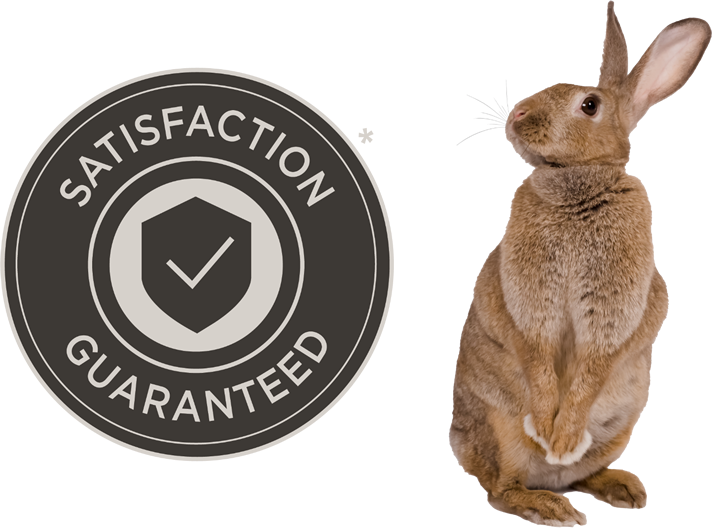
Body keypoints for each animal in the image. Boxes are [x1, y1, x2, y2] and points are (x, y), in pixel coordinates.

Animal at [449, 2, 709, 526]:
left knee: (579, 472)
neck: (578, 183)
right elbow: (537, 355)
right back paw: (550, 504)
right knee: (501, 487)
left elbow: (593, 366)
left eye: (589, 105)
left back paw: (617, 485)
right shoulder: (530, 303)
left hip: (621, 424)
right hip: (499, 427)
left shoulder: (614, 311)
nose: (518, 113)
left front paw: (563, 436)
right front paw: (548, 429)